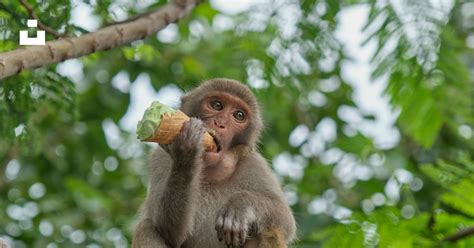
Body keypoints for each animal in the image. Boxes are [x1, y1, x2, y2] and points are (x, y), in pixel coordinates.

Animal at [132, 78, 296, 247]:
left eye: (239, 115)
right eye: (217, 105)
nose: (220, 123)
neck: (212, 172)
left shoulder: (254, 164)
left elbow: (285, 219)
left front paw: (240, 205)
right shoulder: (161, 159)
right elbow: (168, 231)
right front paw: (187, 150)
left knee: (269, 229)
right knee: (146, 227)